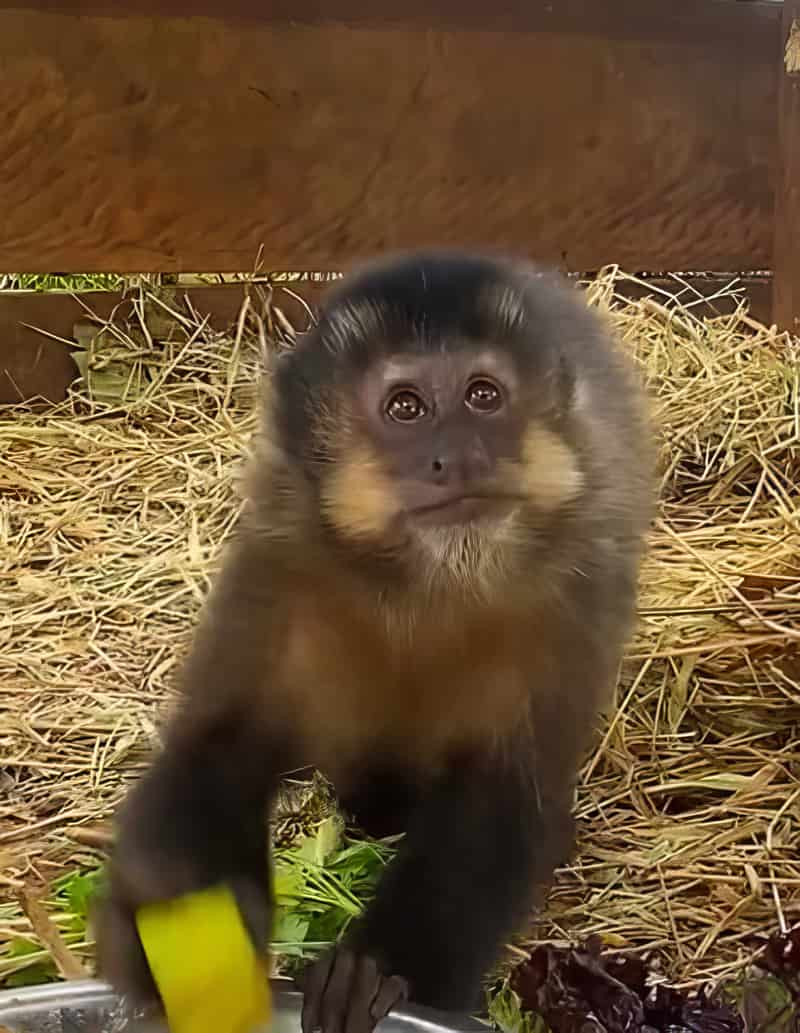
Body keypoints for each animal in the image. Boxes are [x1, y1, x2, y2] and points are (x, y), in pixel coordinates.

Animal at [93, 251, 653, 1033]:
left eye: (483, 396)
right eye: (407, 408)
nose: (457, 456)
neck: (420, 581)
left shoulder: (573, 593)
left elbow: (500, 803)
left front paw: (378, 972)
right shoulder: (281, 564)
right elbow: (223, 742)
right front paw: (161, 905)